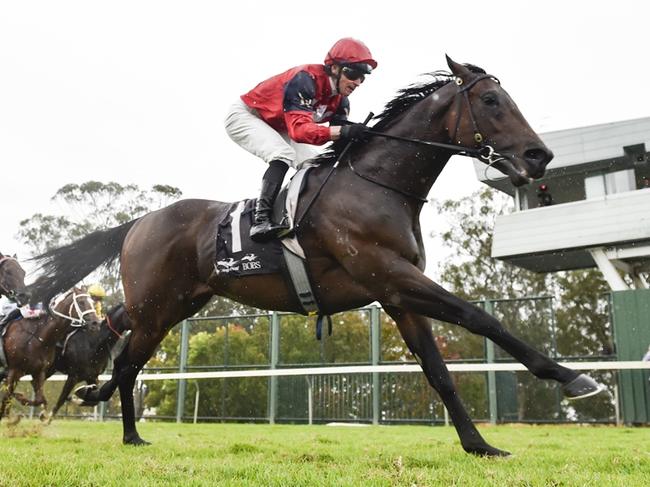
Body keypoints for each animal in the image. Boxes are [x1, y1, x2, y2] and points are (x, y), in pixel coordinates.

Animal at [0, 288, 99, 422]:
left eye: (92, 302)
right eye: (81, 302)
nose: (95, 323)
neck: (40, 337)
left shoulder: (39, 372)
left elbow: (39, 399)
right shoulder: (14, 370)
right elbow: (7, 395)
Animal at [29, 58, 596, 458]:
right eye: (493, 100)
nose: (539, 156)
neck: (377, 185)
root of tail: (139, 223)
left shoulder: (397, 294)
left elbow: (439, 371)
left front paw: (479, 444)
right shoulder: (393, 276)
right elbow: (480, 316)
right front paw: (573, 377)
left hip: (177, 304)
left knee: (122, 345)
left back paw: (113, 414)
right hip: (158, 305)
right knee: (127, 357)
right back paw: (116, 420)